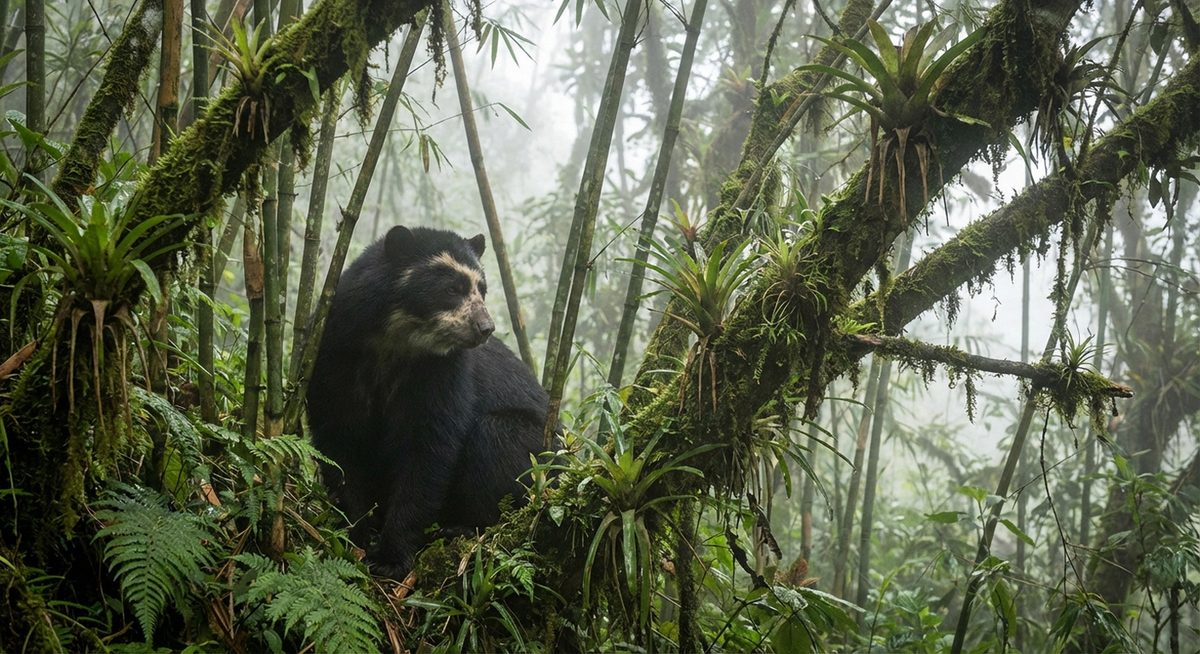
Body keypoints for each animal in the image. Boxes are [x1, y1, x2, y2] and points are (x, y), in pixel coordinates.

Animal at [306, 225, 549, 578]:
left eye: (482, 290)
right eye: (452, 288)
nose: (485, 328)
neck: (395, 340)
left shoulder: (443, 373)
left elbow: (427, 449)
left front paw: (390, 557)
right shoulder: (333, 352)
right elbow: (338, 440)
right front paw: (356, 533)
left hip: (537, 450)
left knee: (497, 437)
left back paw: (460, 528)